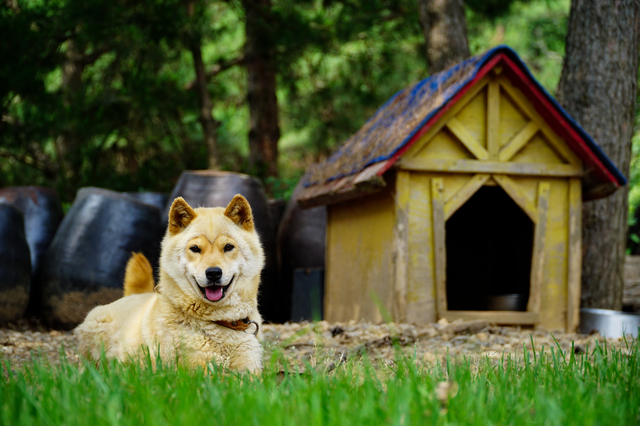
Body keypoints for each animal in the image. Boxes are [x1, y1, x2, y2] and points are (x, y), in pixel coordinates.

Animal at [75, 195, 264, 372]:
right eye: (195, 248)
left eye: (228, 247)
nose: (213, 273)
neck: (221, 322)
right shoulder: (197, 369)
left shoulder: (250, 366)